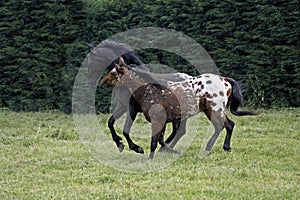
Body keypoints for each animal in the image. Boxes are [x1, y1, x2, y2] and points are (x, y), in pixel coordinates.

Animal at [110, 63, 258, 159]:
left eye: (113, 73)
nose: (115, 93)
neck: (150, 90)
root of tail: (225, 80)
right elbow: (159, 139)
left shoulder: (157, 120)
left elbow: (154, 141)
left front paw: (148, 157)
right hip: (209, 111)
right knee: (225, 125)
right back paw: (216, 148)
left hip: (215, 110)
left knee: (225, 125)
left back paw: (214, 148)